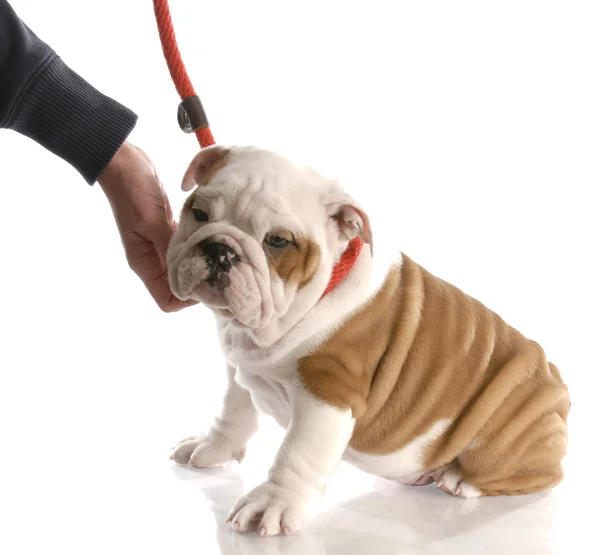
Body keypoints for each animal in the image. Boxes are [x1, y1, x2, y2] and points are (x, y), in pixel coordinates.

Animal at [166, 146, 568, 536]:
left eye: (278, 241)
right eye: (199, 213)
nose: (220, 250)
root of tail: (556, 382)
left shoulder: (327, 393)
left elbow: (297, 453)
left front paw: (272, 502)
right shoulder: (241, 370)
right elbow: (233, 412)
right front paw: (212, 447)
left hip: (514, 432)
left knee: (538, 474)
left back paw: (459, 479)